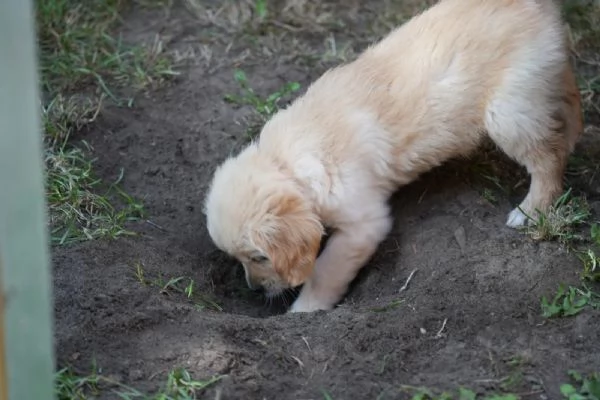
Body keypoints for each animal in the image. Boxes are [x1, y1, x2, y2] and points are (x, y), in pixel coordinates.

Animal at [203, 0, 580, 312]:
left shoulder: (363, 224)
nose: (253, 290)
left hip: (507, 112)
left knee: (548, 158)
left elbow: (325, 271)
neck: (286, 163)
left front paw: (304, 310)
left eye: (259, 257)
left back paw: (530, 211)